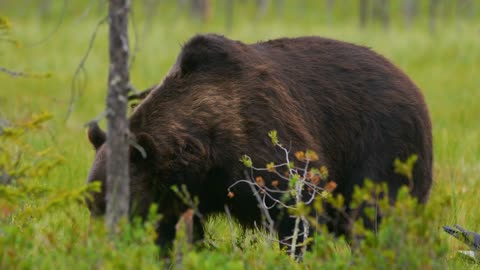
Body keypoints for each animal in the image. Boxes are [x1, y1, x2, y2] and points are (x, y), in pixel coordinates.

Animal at [85, 33, 432, 251]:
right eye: (91, 204)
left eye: (116, 204)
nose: (103, 241)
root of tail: (412, 84)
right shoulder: (182, 193)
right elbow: (174, 232)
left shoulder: (263, 142)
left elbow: (298, 208)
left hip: (384, 145)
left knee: (375, 214)